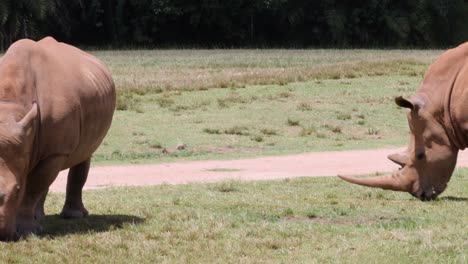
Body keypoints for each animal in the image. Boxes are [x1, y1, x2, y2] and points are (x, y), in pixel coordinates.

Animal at [0, 37, 115, 239]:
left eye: (17, 191)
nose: (1, 234)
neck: (9, 104)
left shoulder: (57, 150)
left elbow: (33, 188)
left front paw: (28, 231)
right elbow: (37, 183)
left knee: (84, 154)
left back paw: (73, 216)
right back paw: (40, 217)